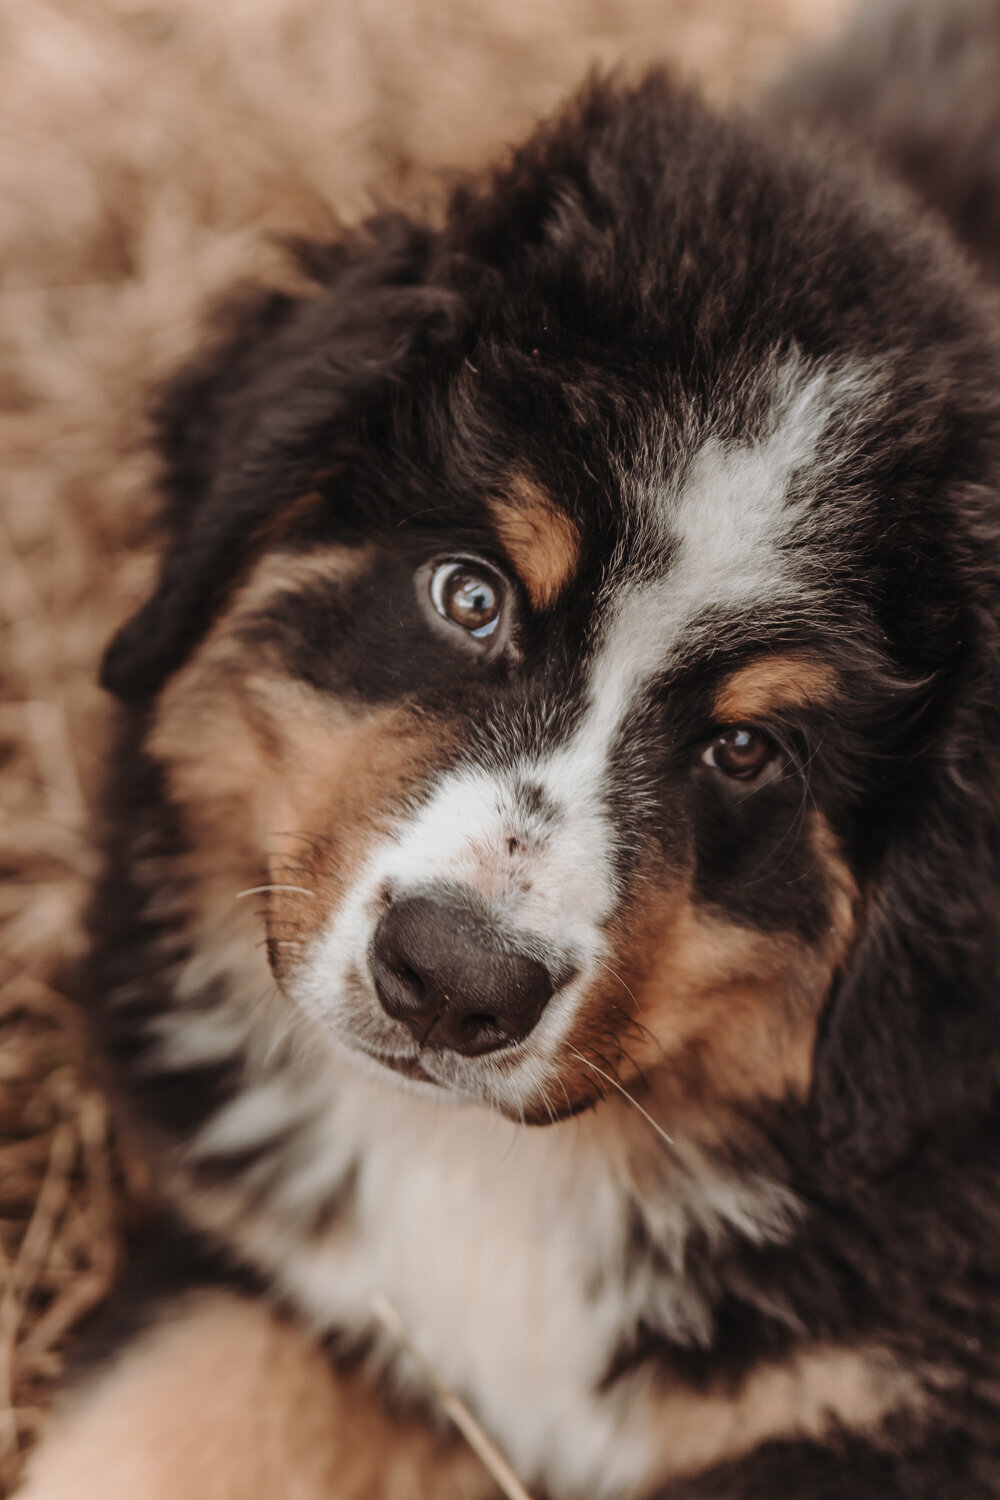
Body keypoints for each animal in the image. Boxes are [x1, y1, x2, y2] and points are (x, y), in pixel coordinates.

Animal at [17, 2, 1000, 1500]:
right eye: (469, 596)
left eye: (749, 750)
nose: (452, 983)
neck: (493, 1172)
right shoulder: (272, 1277)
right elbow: (147, 1430)